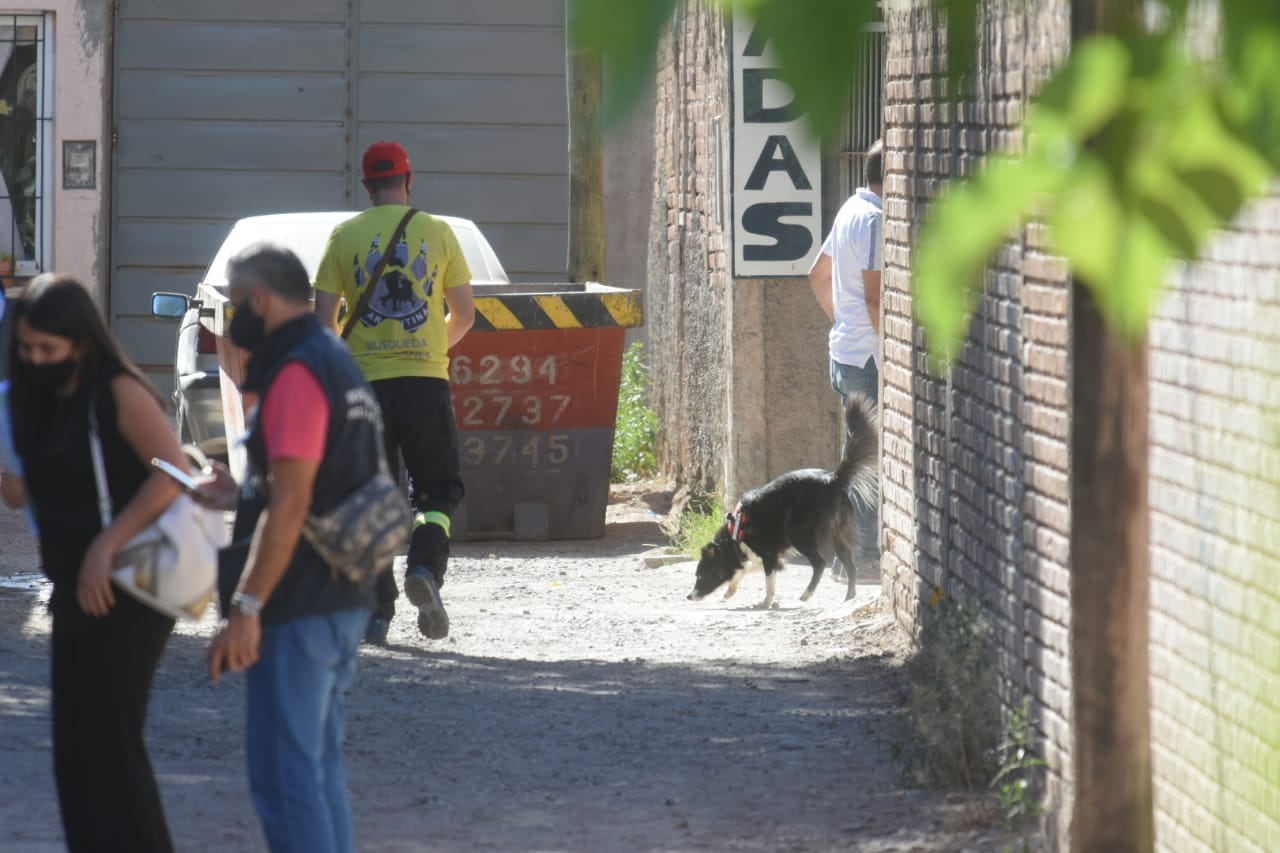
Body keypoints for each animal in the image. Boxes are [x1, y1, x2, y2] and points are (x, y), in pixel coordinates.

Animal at [691, 394, 880, 607]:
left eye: (700, 576)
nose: (689, 596)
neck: (736, 532)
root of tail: (832, 480)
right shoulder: (770, 556)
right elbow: (747, 569)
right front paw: (731, 590)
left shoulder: (768, 554)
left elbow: (765, 580)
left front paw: (765, 603)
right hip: (837, 535)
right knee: (850, 566)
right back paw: (849, 598)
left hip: (799, 534)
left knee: (820, 563)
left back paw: (807, 594)